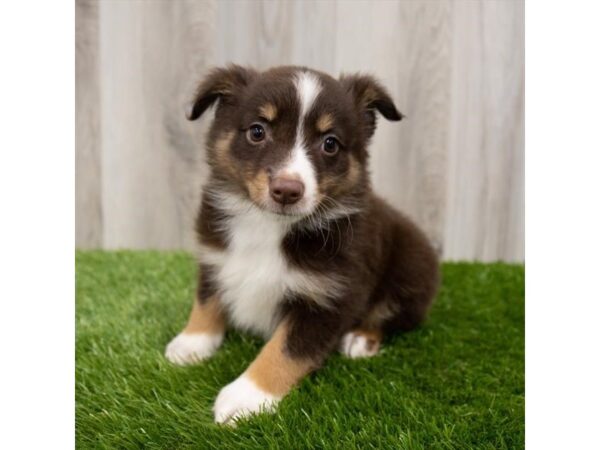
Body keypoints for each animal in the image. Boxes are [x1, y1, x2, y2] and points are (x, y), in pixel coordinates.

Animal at [166, 65, 438, 424]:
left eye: (330, 143)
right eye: (257, 131)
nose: (287, 190)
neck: (268, 226)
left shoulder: (329, 298)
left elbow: (285, 350)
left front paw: (245, 396)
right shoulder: (214, 257)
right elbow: (207, 300)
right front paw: (192, 342)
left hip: (411, 268)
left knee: (391, 313)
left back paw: (361, 338)